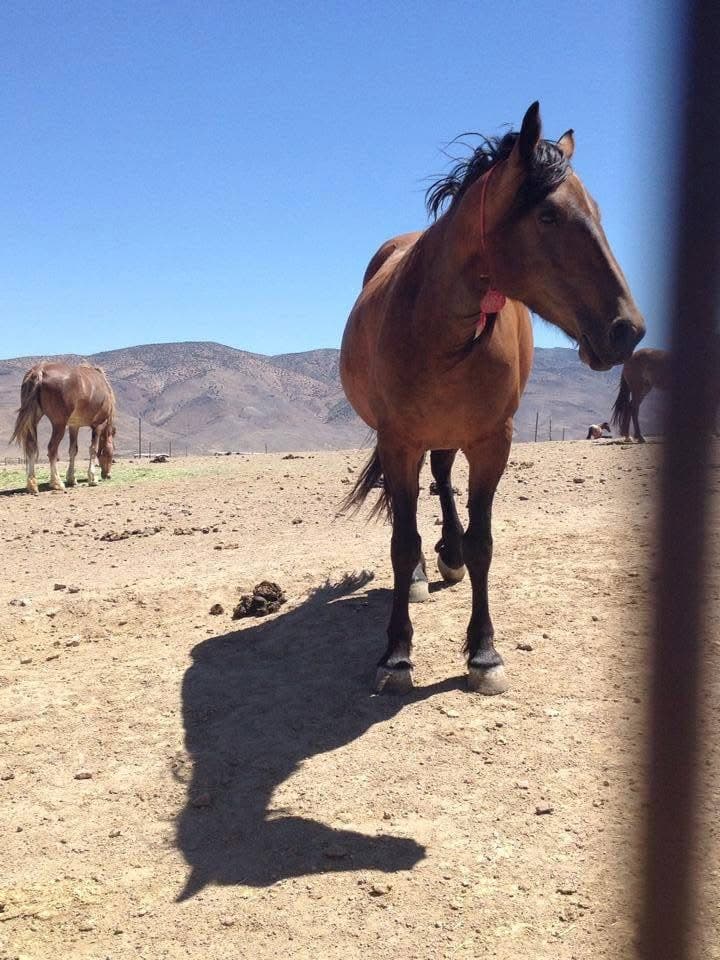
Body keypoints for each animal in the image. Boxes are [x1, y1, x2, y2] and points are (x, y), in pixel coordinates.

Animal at [10, 361, 117, 495]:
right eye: (110, 453)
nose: (108, 475)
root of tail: (39, 371)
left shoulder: (74, 426)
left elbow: (73, 450)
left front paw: (71, 479)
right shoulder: (98, 425)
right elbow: (93, 449)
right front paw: (92, 478)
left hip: (33, 419)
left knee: (31, 447)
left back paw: (32, 485)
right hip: (58, 425)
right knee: (52, 449)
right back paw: (57, 483)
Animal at [340, 102, 645, 695]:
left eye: (596, 212)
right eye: (548, 217)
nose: (628, 331)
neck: (435, 325)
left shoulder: (491, 442)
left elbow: (483, 543)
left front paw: (484, 652)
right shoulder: (398, 441)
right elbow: (401, 541)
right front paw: (397, 654)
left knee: (441, 480)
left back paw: (450, 556)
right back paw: (421, 574)